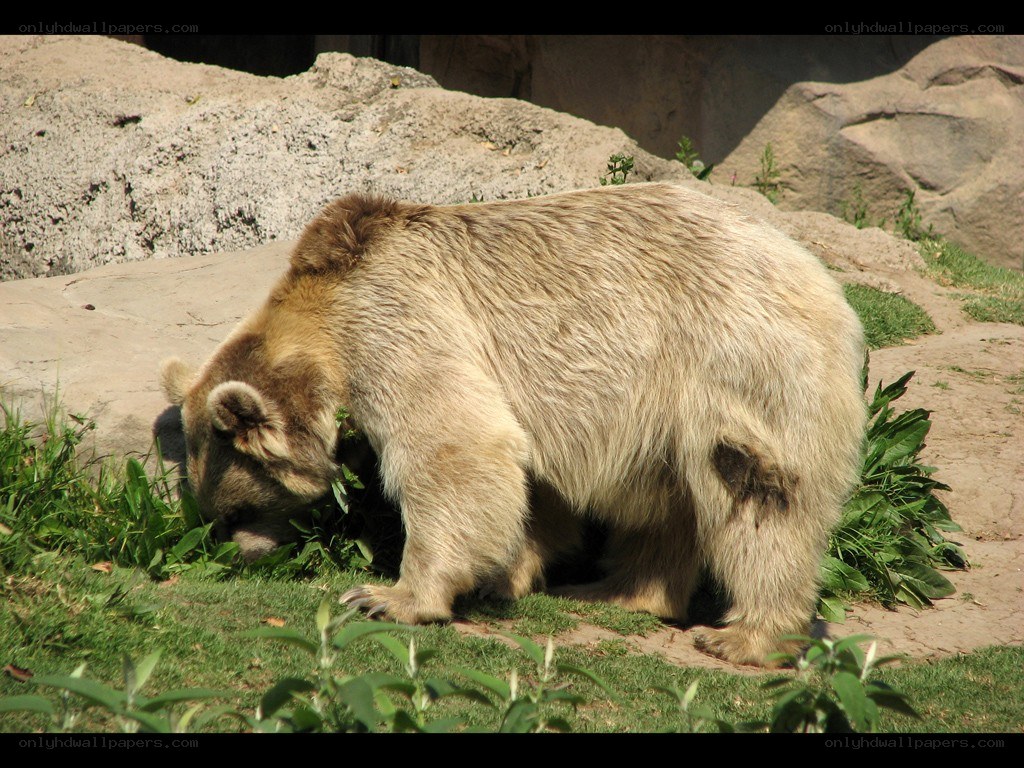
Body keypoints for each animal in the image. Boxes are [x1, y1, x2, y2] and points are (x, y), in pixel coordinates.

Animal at [160, 182, 866, 666]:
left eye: (237, 509)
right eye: (216, 514)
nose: (237, 552)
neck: (324, 307)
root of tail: (821, 280)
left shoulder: (398, 320)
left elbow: (452, 445)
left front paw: (391, 595)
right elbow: (530, 482)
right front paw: (508, 576)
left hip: (737, 360)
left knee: (755, 490)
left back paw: (748, 635)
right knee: (673, 501)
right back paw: (615, 590)